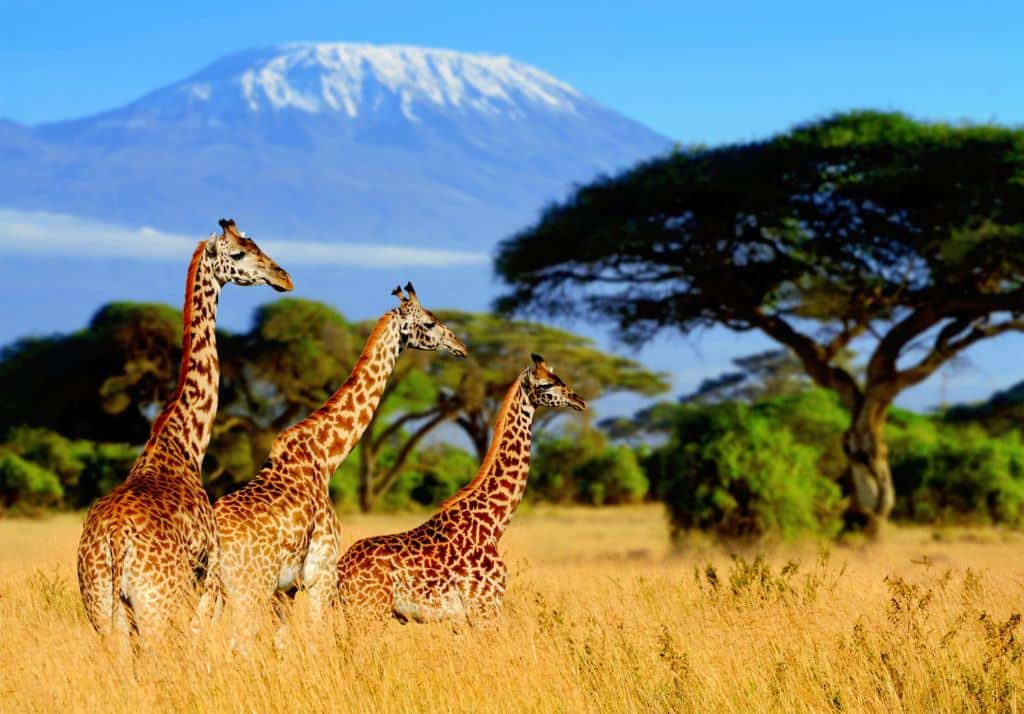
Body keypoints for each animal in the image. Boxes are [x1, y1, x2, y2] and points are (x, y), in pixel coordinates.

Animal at [74, 217, 292, 639]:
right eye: (239, 253)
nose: (284, 277)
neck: (185, 442)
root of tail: (114, 542)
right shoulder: (209, 574)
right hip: (158, 605)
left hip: (103, 611)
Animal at [208, 280, 471, 631]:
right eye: (429, 322)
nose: (460, 346)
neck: (326, 457)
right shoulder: (321, 571)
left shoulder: (287, 589)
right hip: (249, 588)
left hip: (213, 591)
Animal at [337, 354, 585, 622]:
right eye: (546, 385)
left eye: (559, 378)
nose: (579, 401)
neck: (493, 524)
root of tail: (339, 571)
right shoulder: (485, 607)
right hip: (369, 610)